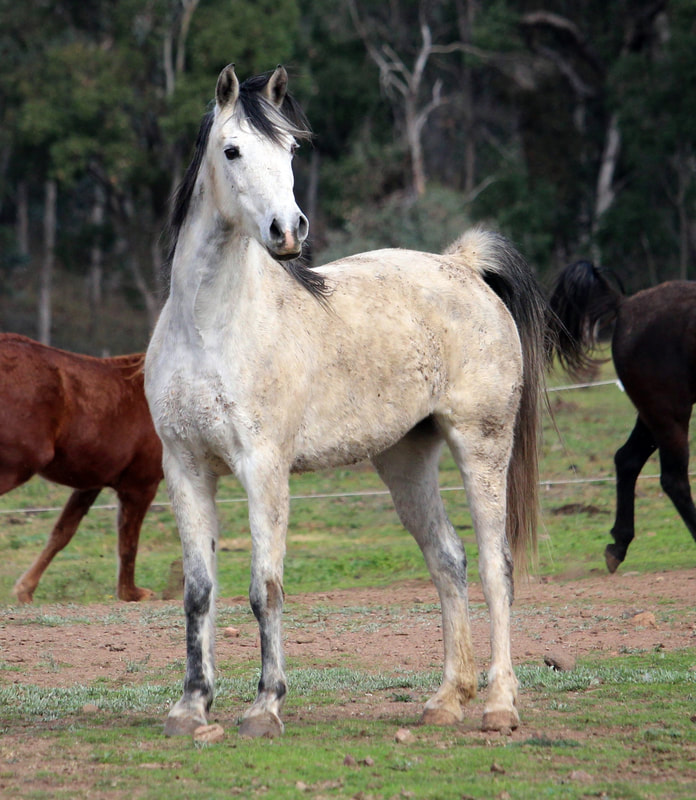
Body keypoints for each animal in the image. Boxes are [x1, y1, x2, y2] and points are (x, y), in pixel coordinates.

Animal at [0, 333, 163, 603]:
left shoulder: (91, 483)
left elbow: (62, 533)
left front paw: (25, 590)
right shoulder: (140, 485)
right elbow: (128, 543)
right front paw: (131, 593)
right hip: (15, 468)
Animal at [144, 63, 556, 738]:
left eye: (290, 149)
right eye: (232, 151)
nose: (288, 231)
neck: (210, 327)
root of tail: (462, 266)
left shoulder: (264, 469)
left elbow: (265, 588)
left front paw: (265, 707)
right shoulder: (185, 469)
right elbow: (198, 592)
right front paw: (190, 708)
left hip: (482, 446)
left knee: (496, 566)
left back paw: (499, 703)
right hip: (405, 460)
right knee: (448, 560)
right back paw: (447, 698)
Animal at [549, 261, 696, 572]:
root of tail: (624, 304)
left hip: (654, 412)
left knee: (627, 459)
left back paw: (618, 545)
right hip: (668, 410)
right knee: (673, 479)